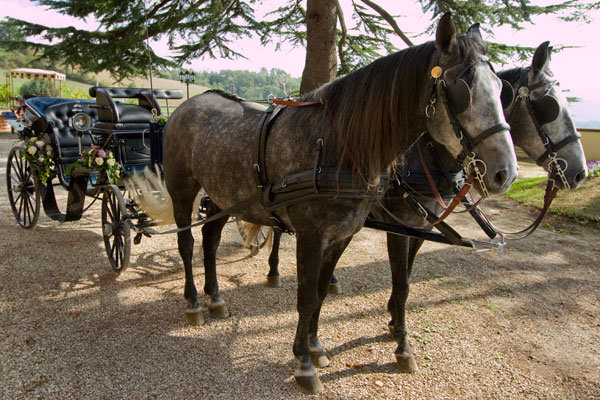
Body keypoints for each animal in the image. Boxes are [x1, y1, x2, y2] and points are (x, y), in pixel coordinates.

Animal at [149, 14, 516, 396]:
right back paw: (194, 302)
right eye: (461, 91)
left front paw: (316, 345)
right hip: (183, 189)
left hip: (227, 197)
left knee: (210, 239)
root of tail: (186, 106)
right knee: (186, 242)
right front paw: (304, 363)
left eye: (502, 89)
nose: (505, 172)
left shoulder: (345, 235)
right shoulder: (314, 235)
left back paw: (216, 298)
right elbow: (308, 296)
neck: (336, 145)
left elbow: (327, 289)